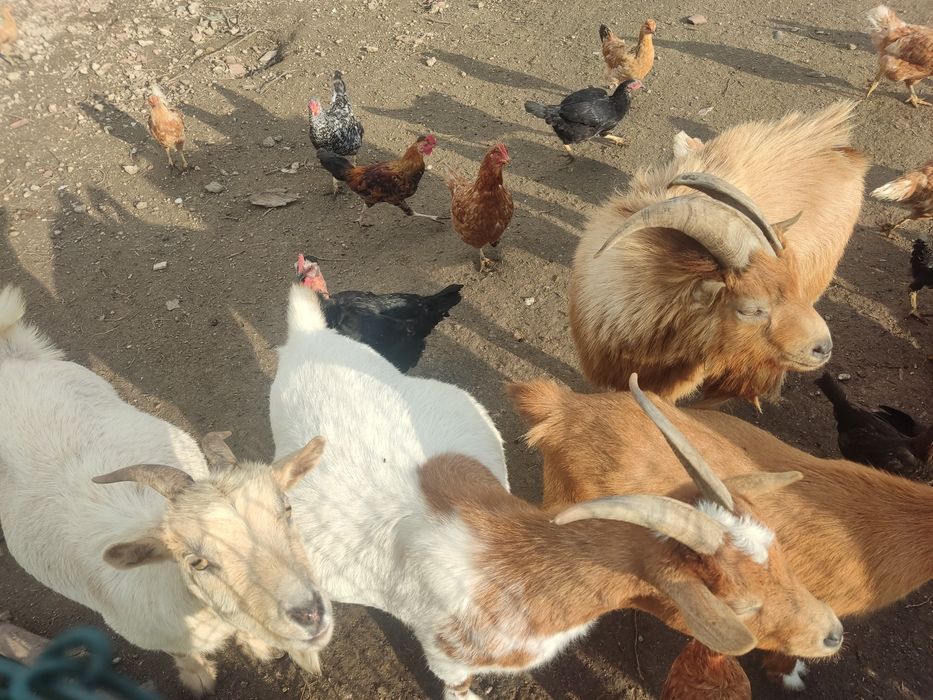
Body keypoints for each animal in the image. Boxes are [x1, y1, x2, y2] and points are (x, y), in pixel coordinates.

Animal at [0, 285, 332, 696]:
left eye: (286, 511)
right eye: (197, 561)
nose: (310, 613)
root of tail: (11, 355)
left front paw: (259, 647)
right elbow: (183, 655)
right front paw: (199, 677)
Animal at [269, 284, 842, 700]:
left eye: (779, 552)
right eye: (741, 605)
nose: (834, 634)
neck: (517, 572)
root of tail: (308, 336)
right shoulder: (445, 656)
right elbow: (456, 685)